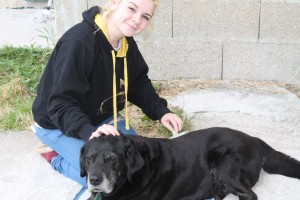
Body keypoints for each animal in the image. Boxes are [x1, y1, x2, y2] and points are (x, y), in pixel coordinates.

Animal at [79, 127, 300, 199]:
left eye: (111, 159)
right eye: (88, 159)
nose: (94, 180)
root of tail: (254, 139)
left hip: (225, 164)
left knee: (250, 195)